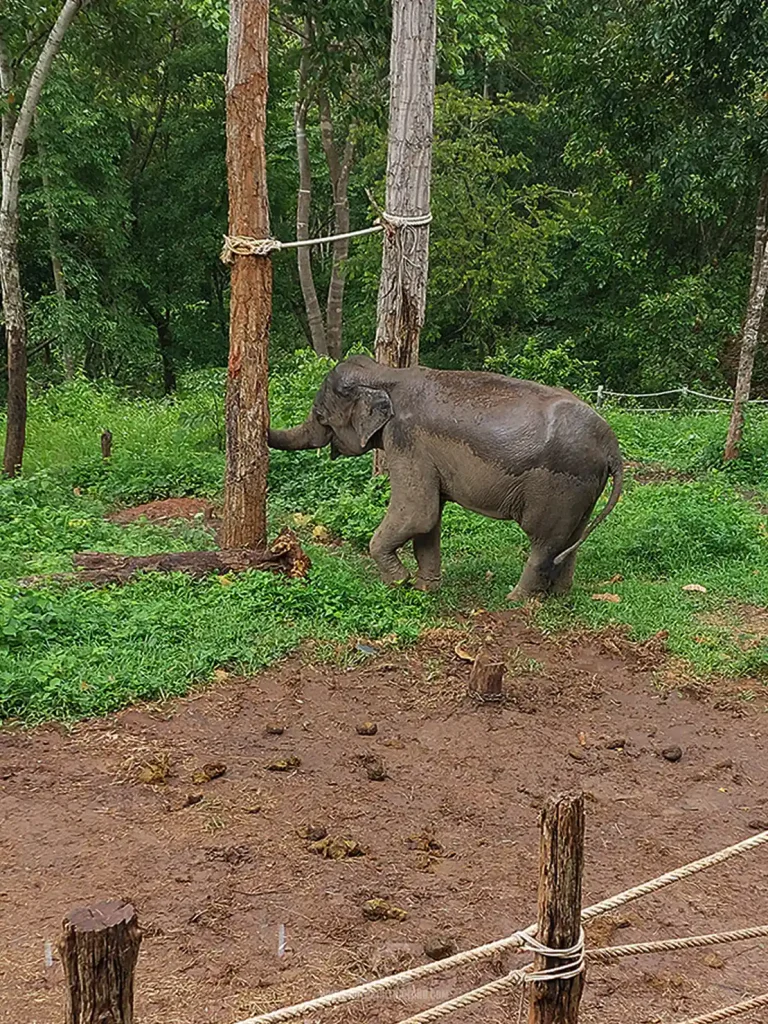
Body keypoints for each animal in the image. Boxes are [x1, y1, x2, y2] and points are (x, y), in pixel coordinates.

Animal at [269, 355, 623, 599]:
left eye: (320, 416)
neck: (384, 373)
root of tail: (611, 444)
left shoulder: (406, 440)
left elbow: (417, 513)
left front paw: (399, 583)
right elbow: (429, 520)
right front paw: (425, 589)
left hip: (558, 485)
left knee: (544, 541)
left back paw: (516, 599)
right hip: (582, 486)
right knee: (571, 538)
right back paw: (559, 597)